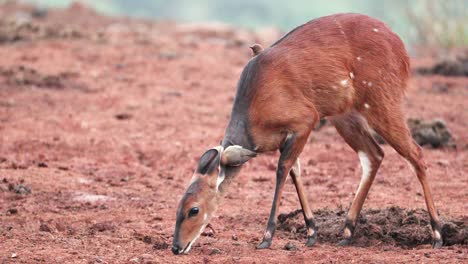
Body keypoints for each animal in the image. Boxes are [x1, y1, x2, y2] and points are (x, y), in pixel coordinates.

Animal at [171, 13, 442, 255]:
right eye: (177, 207)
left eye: (193, 209)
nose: (176, 247)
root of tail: (401, 48)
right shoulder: (287, 137)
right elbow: (295, 172)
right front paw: (312, 233)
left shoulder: (305, 120)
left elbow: (282, 170)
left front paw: (267, 238)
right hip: (344, 115)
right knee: (374, 154)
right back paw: (347, 232)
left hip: (380, 101)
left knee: (416, 154)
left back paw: (438, 234)